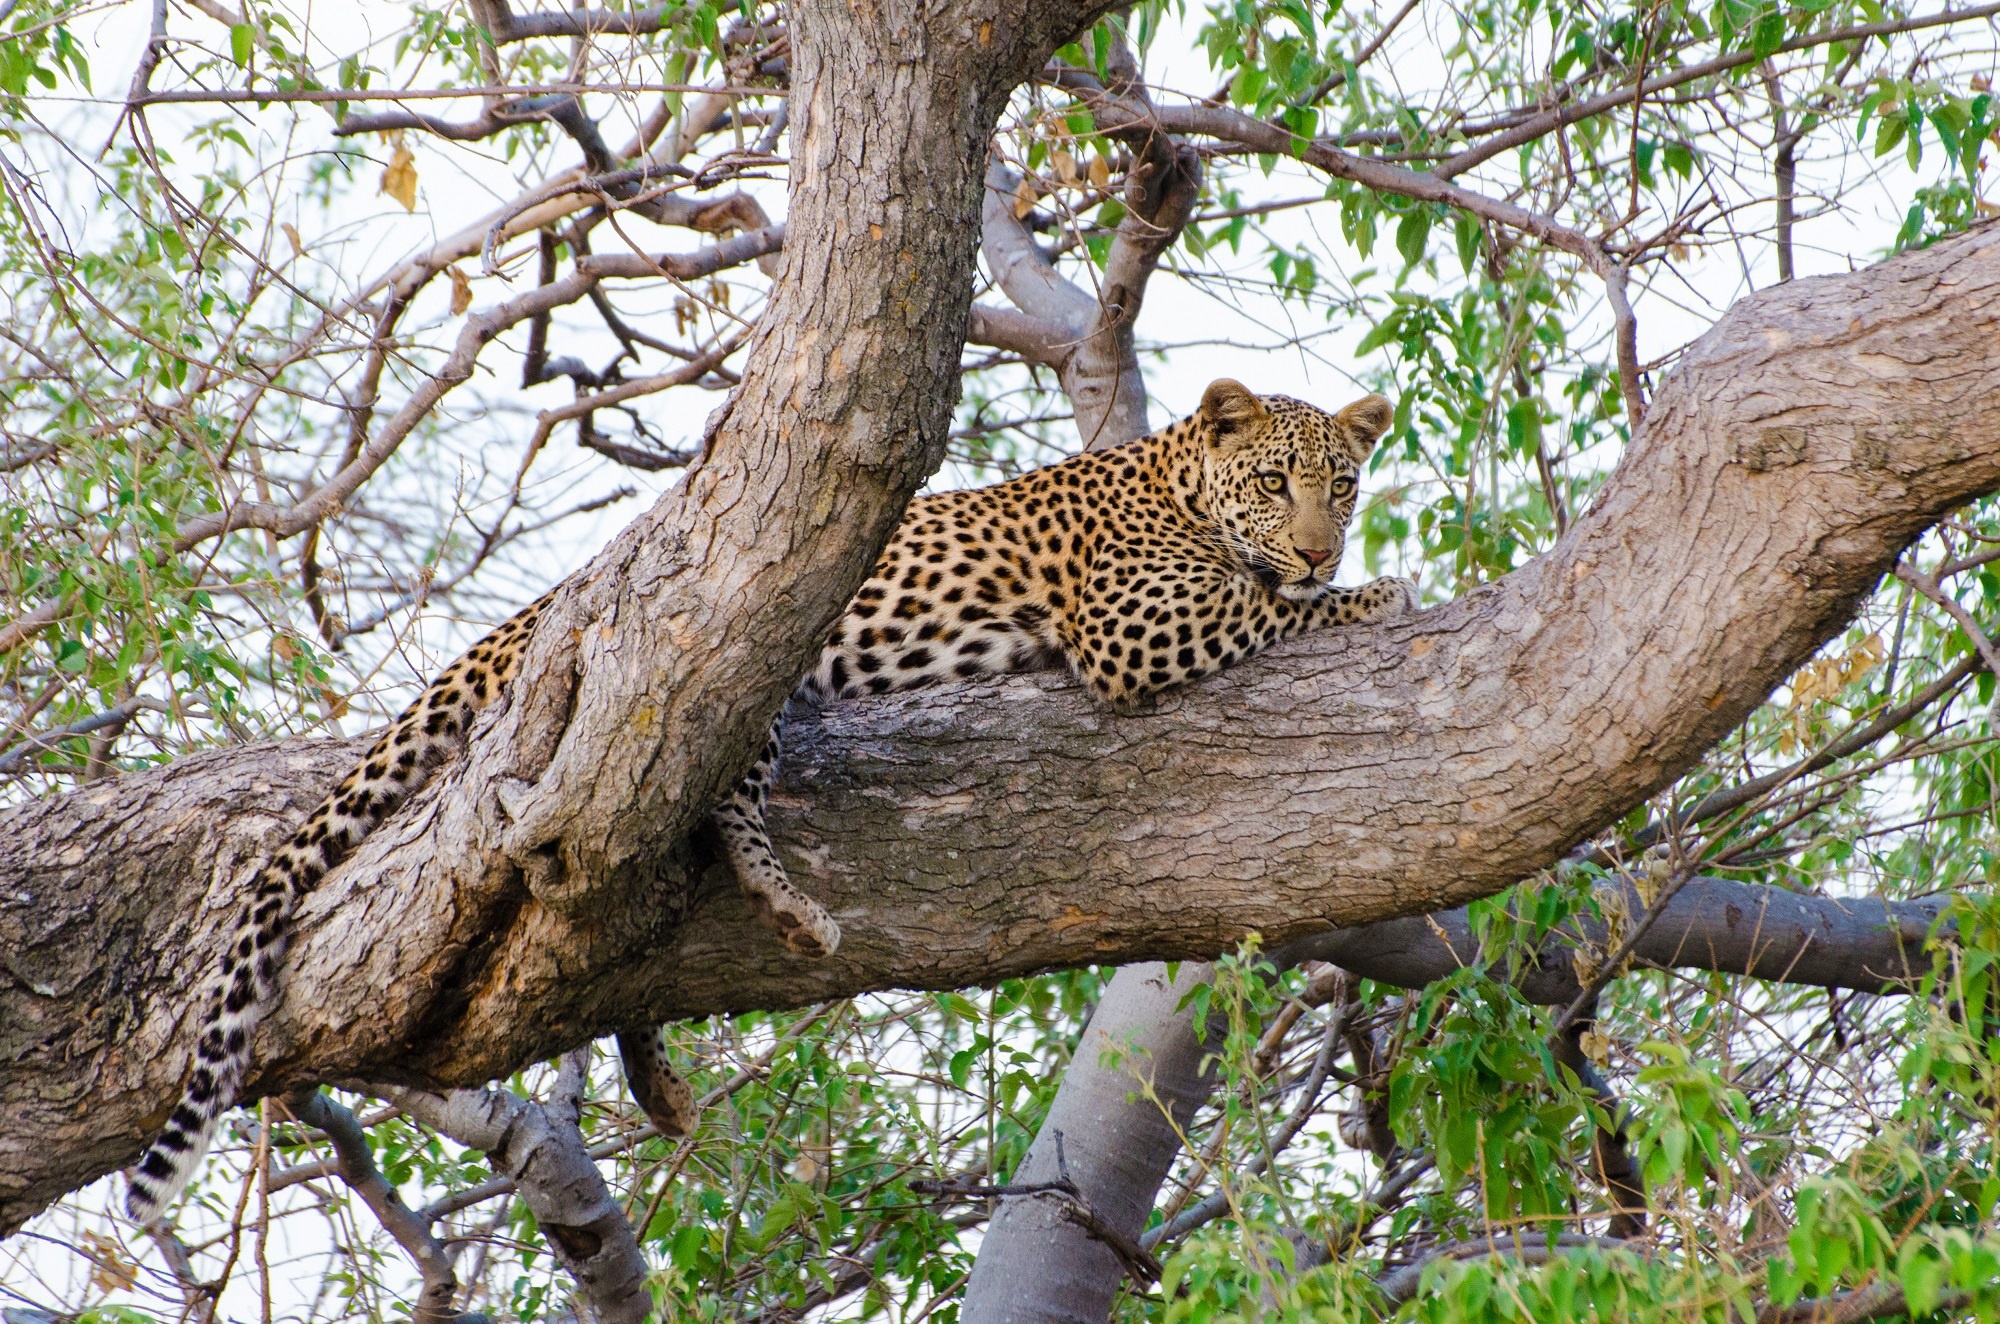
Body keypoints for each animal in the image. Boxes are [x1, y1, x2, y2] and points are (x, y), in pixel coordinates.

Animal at [125, 374, 1416, 1224]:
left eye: (1343, 485)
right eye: (1274, 483)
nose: (1320, 546)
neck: (1180, 483)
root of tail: (530, 614)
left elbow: (1270, 600)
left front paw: (1356, 581)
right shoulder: (1131, 628)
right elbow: (1266, 606)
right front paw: (1375, 594)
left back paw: (668, 1058)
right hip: (733, 683)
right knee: (676, 828)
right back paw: (780, 905)